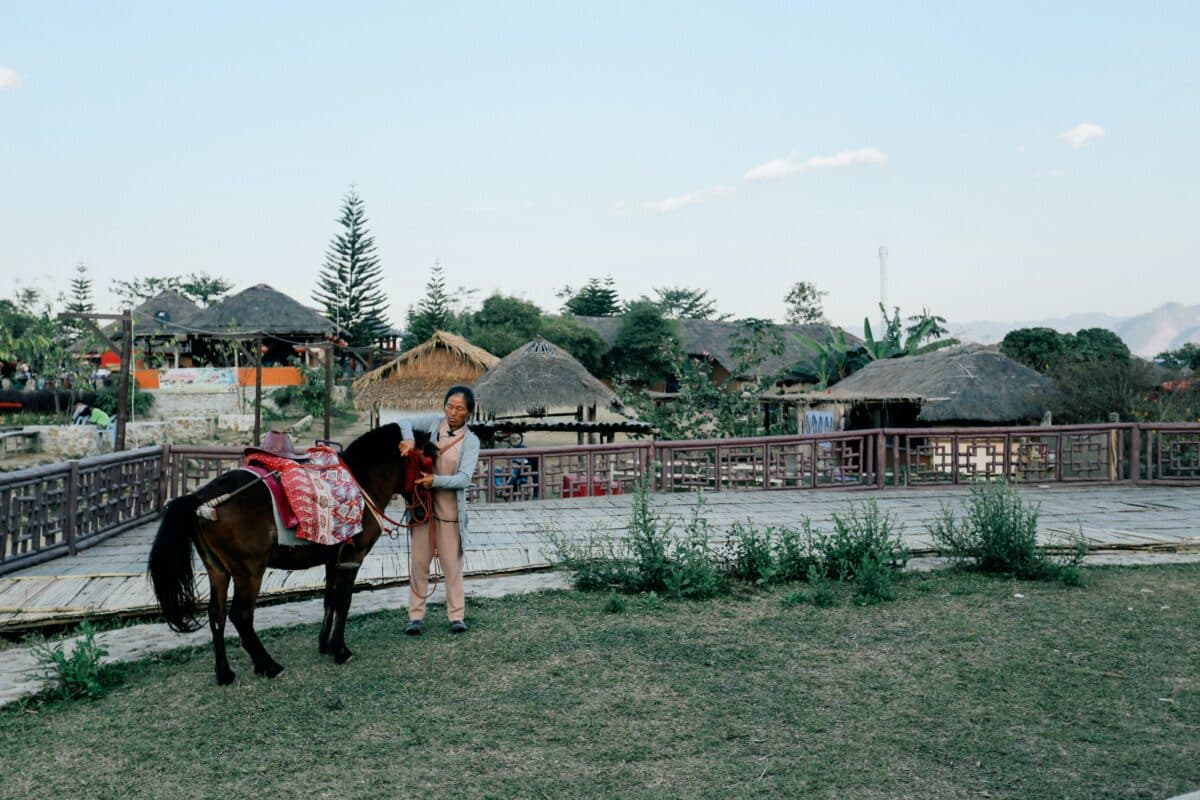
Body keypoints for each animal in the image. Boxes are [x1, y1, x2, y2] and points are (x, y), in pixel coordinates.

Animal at [149, 422, 429, 686]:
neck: (361, 482)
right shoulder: (352, 557)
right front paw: (340, 650)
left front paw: (325, 645)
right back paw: (268, 665)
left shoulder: (333, 560)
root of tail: (201, 499)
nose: (421, 514)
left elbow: (329, 600)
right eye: (428, 461)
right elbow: (343, 601)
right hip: (249, 571)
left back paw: (225, 673)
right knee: (240, 615)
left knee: (216, 615)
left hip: (217, 569)